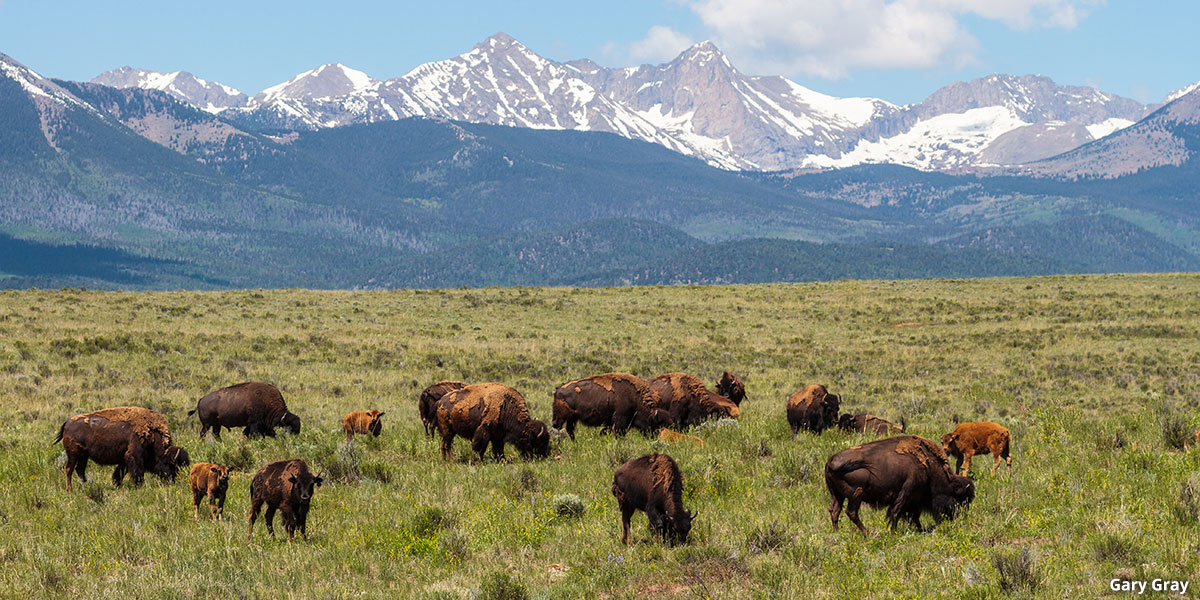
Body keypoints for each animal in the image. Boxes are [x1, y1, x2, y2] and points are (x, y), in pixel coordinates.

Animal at [53, 405, 184, 489]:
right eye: (171, 465)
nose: (173, 481)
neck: (152, 434)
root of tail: (67, 422)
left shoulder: (124, 459)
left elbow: (119, 473)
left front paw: (117, 485)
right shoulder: (133, 456)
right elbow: (137, 472)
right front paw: (139, 486)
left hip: (83, 456)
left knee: (80, 470)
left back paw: (86, 486)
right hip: (73, 455)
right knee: (69, 469)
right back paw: (70, 490)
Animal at [825, 434, 974, 532]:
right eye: (958, 498)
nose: (956, 518)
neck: (928, 467)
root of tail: (831, 461)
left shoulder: (915, 501)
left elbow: (912, 516)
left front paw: (918, 529)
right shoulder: (906, 493)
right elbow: (896, 512)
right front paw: (892, 531)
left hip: (837, 495)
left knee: (835, 511)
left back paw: (837, 532)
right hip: (856, 495)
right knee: (851, 512)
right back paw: (867, 533)